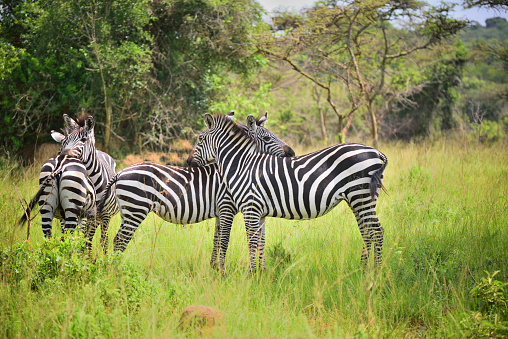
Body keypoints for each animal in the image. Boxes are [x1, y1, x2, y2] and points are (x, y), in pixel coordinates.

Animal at [97, 112, 296, 274]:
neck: (235, 168)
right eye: (267, 138)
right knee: (120, 240)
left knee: (116, 239)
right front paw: (223, 273)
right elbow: (225, 240)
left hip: (128, 210)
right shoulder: (226, 207)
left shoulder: (220, 211)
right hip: (136, 208)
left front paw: (214, 268)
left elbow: (216, 240)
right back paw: (116, 271)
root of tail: (120, 172)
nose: (292, 153)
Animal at [187, 114, 388, 274]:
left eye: (200, 139)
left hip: (360, 194)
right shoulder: (259, 211)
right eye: (267, 137)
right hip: (359, 198)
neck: (244, 164)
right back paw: (363, 270)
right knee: (367, 231)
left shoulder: (250, 207)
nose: (188, 162)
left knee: (377, 231)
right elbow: (261, 241)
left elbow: (251, 241)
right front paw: (261, 273)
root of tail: (376, 151)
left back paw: (377, 272)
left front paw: (250, 275)